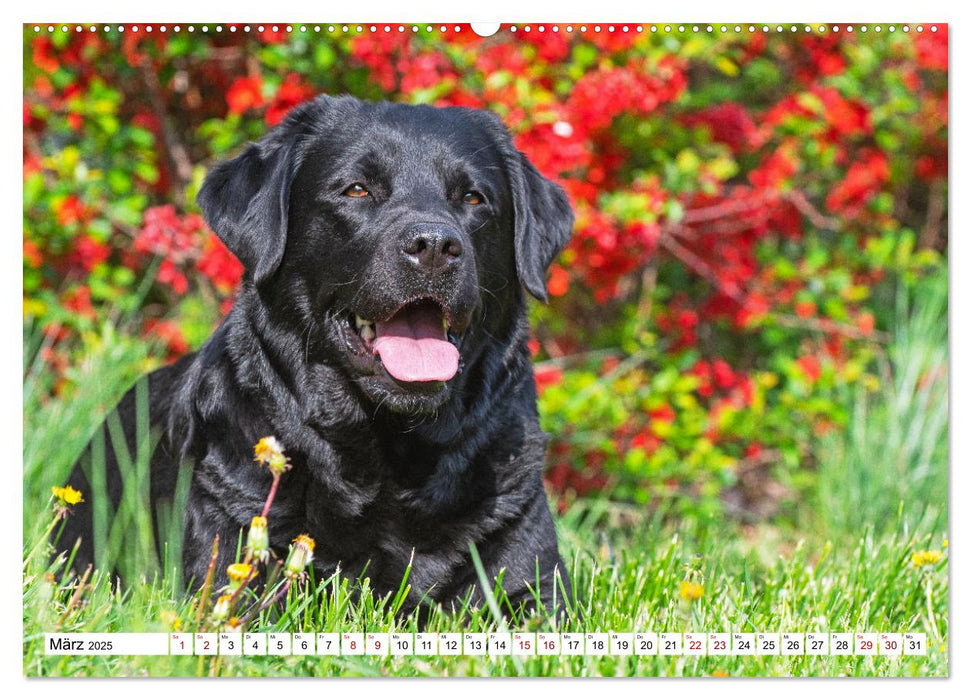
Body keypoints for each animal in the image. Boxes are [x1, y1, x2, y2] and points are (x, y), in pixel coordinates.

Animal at [58, 93, 576, 616]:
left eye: (473, 198)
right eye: (357, 190)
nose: (434, 245)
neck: (393, 453)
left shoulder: (535, 585)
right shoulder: (229, 565)